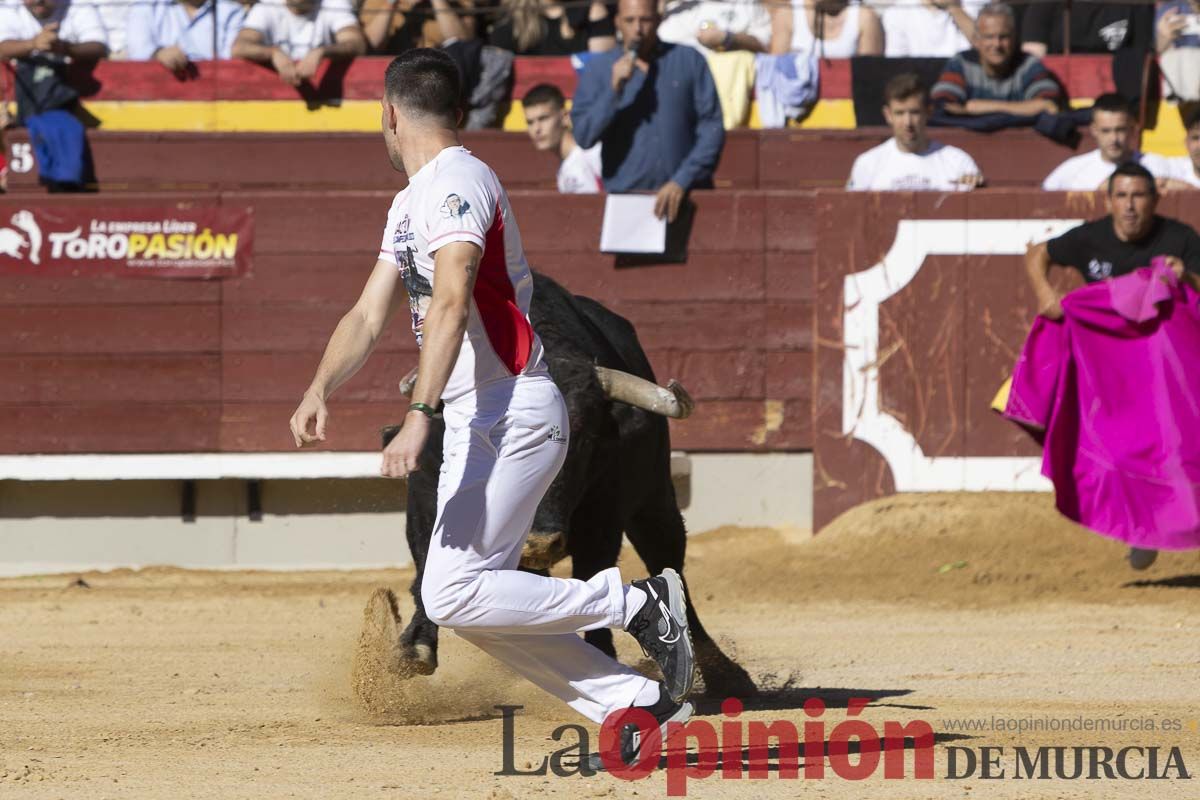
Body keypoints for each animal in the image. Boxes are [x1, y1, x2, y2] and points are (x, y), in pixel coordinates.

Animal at [381, 272, 758, 695]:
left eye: (586, 440)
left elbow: (594, 570)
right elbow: (426, 564)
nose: (538, 543)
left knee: (667, 557)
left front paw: (601, 660)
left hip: (656, 500)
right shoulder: (425, 496)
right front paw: (415, 647)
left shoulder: (605, 512)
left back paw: (726, 675)